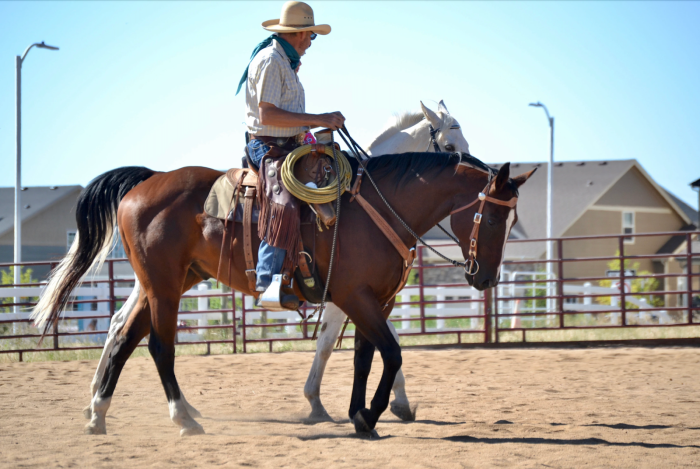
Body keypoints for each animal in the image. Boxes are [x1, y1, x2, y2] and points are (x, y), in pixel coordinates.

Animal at [33, 148, 533, 437]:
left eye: (510, 218)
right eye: (491, 217)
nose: (486, 279)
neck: (378, 210)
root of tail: (146, 181)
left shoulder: (377, 300)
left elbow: (364, 357)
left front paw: (360, 415)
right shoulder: (355, 297)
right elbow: (389, 353)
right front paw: (370, 414)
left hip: (171, 281)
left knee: (123, 338)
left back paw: (99, 413)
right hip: (163, 286)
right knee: (157, 346)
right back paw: (182, 418)